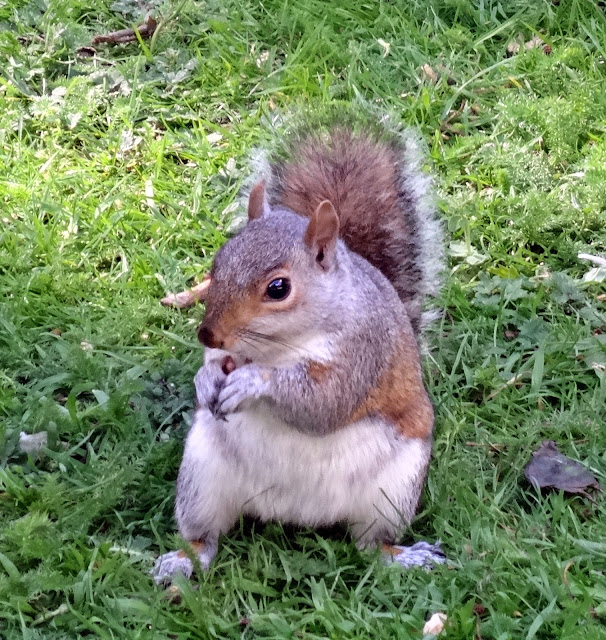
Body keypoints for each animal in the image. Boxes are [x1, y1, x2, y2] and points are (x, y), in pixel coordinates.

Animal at [152, 117, 445, 583]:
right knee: (205, 538)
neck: (283, 346)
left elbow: (325, 403)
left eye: (278, 288)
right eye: (217, 263)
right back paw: (183, 559)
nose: (209, 336)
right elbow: (217, 369)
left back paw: (404, 557)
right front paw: (205, 378)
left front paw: (253, 383)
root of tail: (297, 513)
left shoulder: (365, 349)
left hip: (392, 494)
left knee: (370, 546)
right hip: (202, 479)